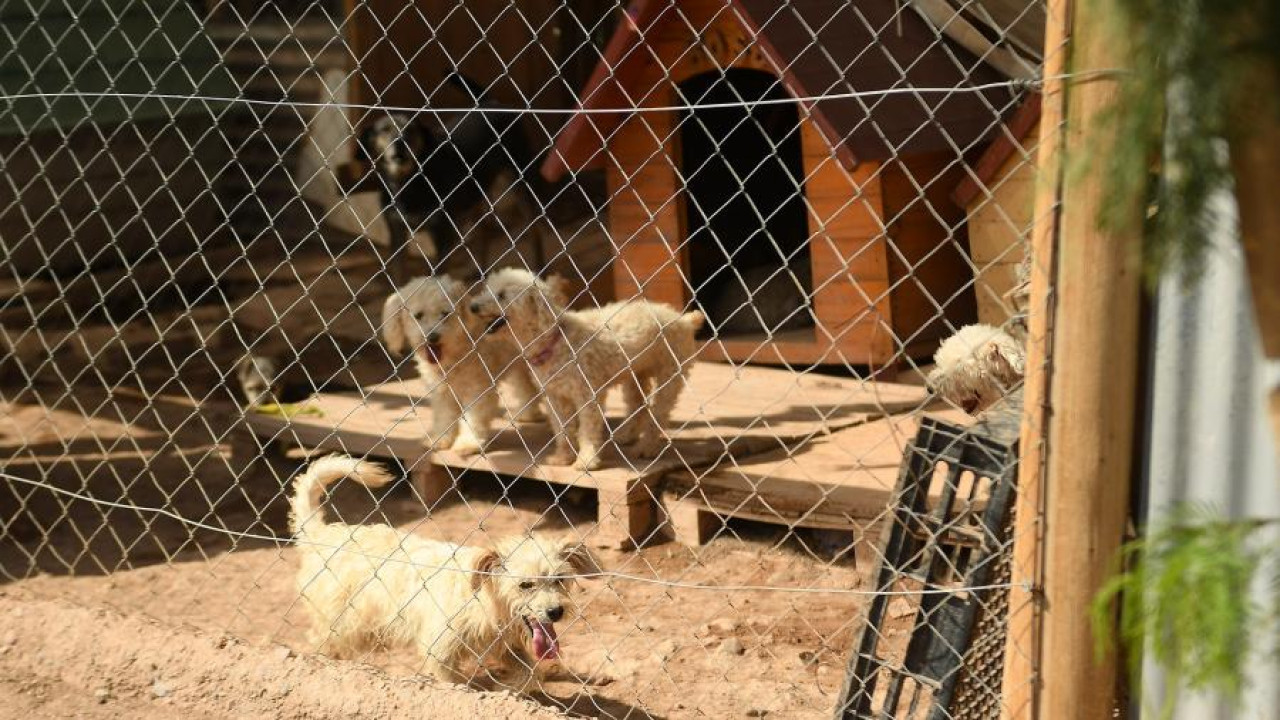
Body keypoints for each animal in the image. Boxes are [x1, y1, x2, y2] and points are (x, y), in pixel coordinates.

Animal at [290, 453, 599, 681]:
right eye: (525, 585)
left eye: (559, 580)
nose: (556, 612)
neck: (482, 599)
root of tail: (322, 534)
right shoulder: (440, 653)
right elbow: (452, 682)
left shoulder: (505, 644)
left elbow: (528, 675)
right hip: (341, 624)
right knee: (320, 640)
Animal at [358, 73, 537, 274]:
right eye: (384, 130)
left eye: (411, 130)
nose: (400, 142)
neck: (408, 183)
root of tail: (492, 103)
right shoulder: (397, 234)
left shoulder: (442, 235)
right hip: (476, 197)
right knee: (483, 234)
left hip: (520, 183)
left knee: (534, 229)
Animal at [376, 271, 542, 450]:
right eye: (418, 315)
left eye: (445, 314)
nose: (432, 337)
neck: (456, 351)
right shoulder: (442, 391)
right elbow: (444, 415)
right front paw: (441, 438)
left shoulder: (478, 388)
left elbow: (474, 417)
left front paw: (468, 443)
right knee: (525, 387)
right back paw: (528, 414)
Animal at [468, 266, 706, 468]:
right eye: (486, 290)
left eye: (501, 295)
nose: (473, 306)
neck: (555, 340)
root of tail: (683, 320)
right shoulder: (556, 397)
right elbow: (562, 430)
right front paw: (563, 458)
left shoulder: (587, 395)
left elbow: (587, 429)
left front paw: (587, 460)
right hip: (635, 375)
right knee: (637, 405)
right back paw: (626, 435)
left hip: (670, 374)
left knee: (659, 414)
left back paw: (646, 447)